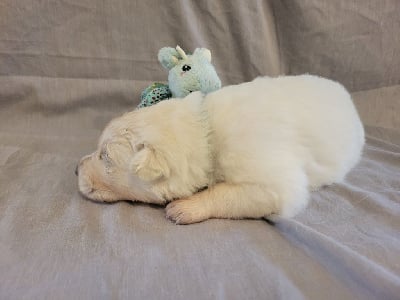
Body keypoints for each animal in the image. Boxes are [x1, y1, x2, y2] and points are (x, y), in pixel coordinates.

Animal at [77, 75, 366, 224]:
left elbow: (227, 193)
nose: (75, 168)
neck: (207, 130)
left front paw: (185, 207)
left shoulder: (276, 185)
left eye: (105, 156)